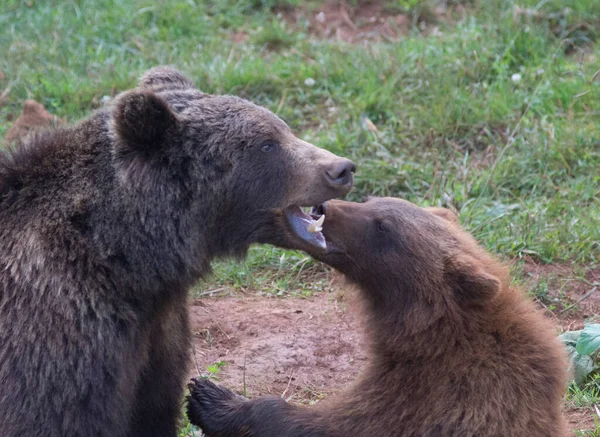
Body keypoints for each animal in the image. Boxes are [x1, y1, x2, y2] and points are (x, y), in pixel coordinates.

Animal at [0, 65, 354, 436]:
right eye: (267, 144)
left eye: (283, 128)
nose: (341, 168)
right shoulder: (59, 337)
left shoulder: (158, 335)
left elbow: (154, 405)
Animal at [189, 198, 568, 436]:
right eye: (372, 200)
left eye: (383, 226)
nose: (324, 207)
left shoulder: (428, 398)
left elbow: (330, 423)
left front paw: (210, 398)